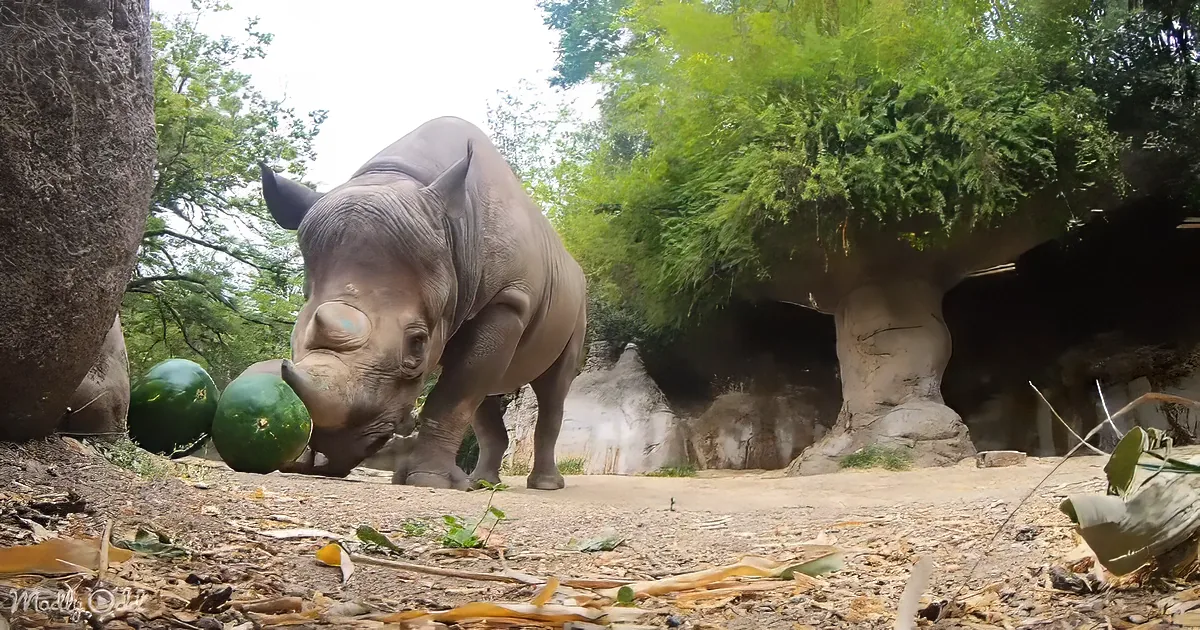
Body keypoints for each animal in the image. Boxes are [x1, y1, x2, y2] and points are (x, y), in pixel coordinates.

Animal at [258, 116, 588, 490]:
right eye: (296, 336)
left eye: (417, 344)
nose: (330, 452)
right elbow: (467, 388)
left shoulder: (507, 300)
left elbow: (453, 395)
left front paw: (429, 480)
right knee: (489, 394)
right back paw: (482, 484)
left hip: (577, 303)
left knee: (554, 389)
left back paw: (544, 485)